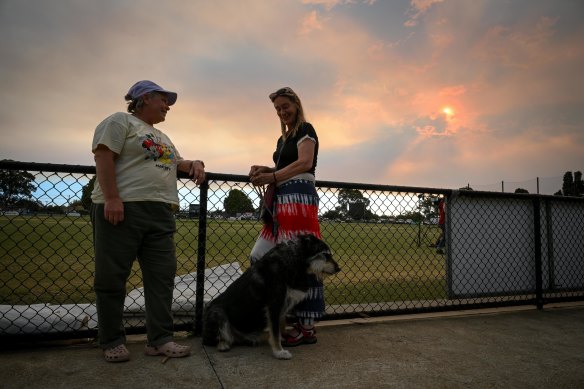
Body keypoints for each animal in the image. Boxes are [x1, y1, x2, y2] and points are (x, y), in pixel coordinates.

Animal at [202, 233, 340, 358]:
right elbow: (274, 330)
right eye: (325, 255)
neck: (294, 260)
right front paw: (279, 351)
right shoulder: (274, 303)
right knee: (211, 340)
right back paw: (223, 344)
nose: (339, 268)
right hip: (217, 312)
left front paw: (283, 339)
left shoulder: (283, 303)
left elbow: (280, 325)